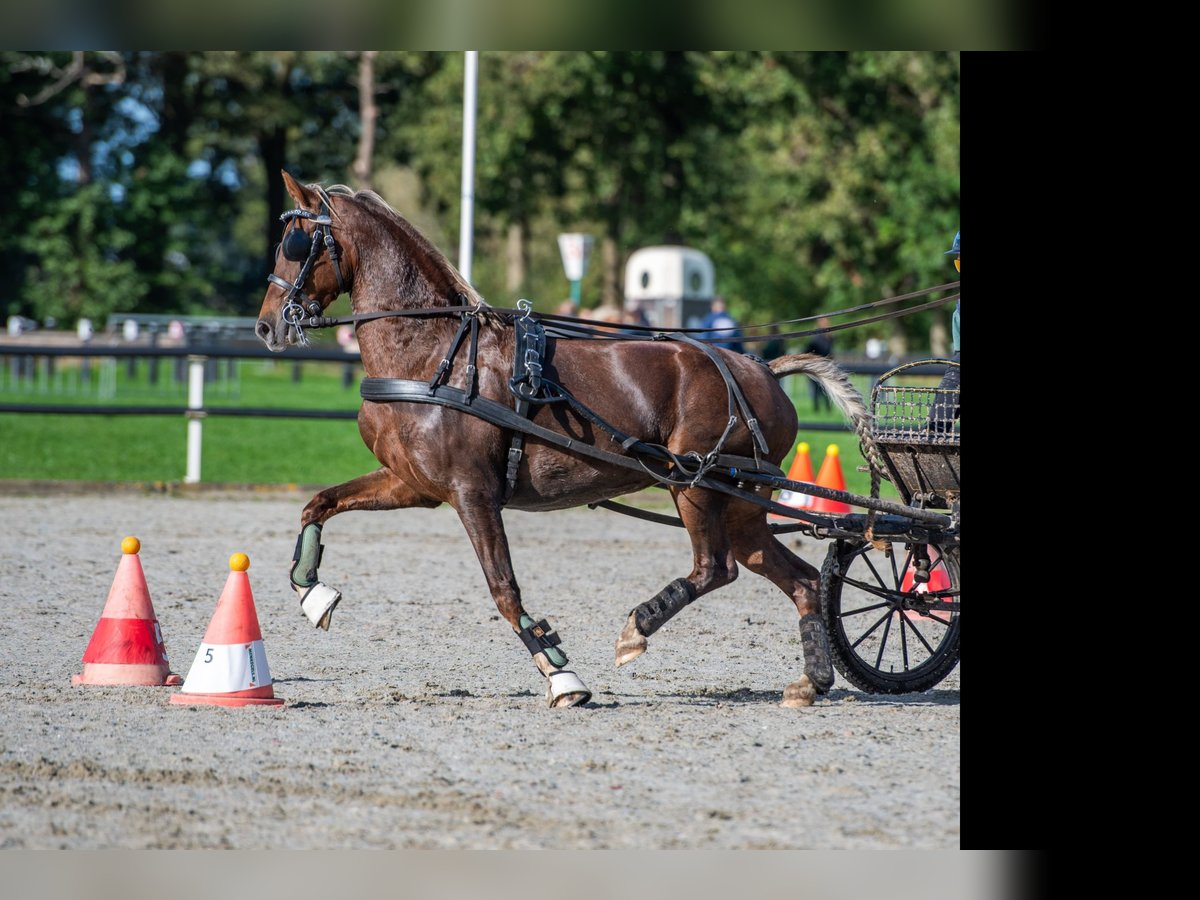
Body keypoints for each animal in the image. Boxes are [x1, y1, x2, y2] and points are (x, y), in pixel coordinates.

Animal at [255, 174, 873, 710]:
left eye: (295, 243)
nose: (266, 326)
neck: (434, 354)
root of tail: (762, 369)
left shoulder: (472, 493)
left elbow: (504, 589)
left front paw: (561, 674)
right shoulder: (416, 485)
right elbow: (320, 504)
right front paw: (311, 592)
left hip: (697, 482)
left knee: (715, 567)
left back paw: (637, 628)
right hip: (741, 498)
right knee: (794, 577)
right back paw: (811, 681)